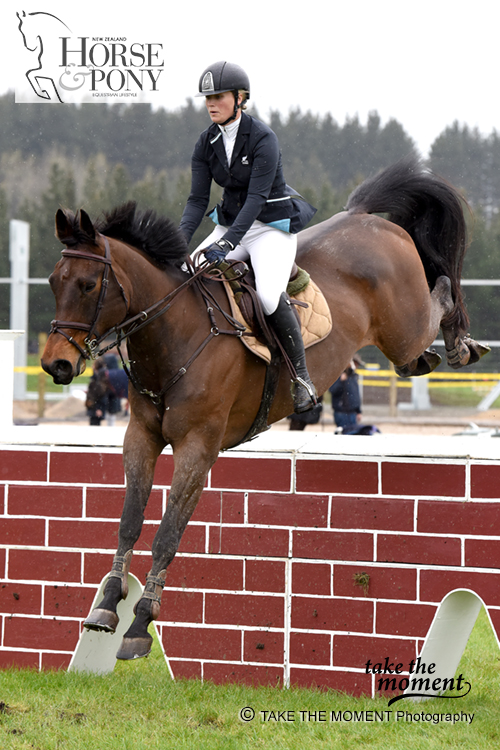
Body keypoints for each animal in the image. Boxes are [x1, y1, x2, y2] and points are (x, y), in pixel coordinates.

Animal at [41, 156, 486, 660]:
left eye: (88, 284)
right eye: (54, 282)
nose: (56, 364)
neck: (175, 333)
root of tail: (362, 215)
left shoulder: (198, 447)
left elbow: (167, 534)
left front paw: (138, 626)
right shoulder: (141, 436)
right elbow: (129, 522)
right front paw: (106, 605)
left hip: (403, 326)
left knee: (442, 289)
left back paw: (463, 343)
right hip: (402, 347)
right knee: (417, 354)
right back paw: (442, 352)